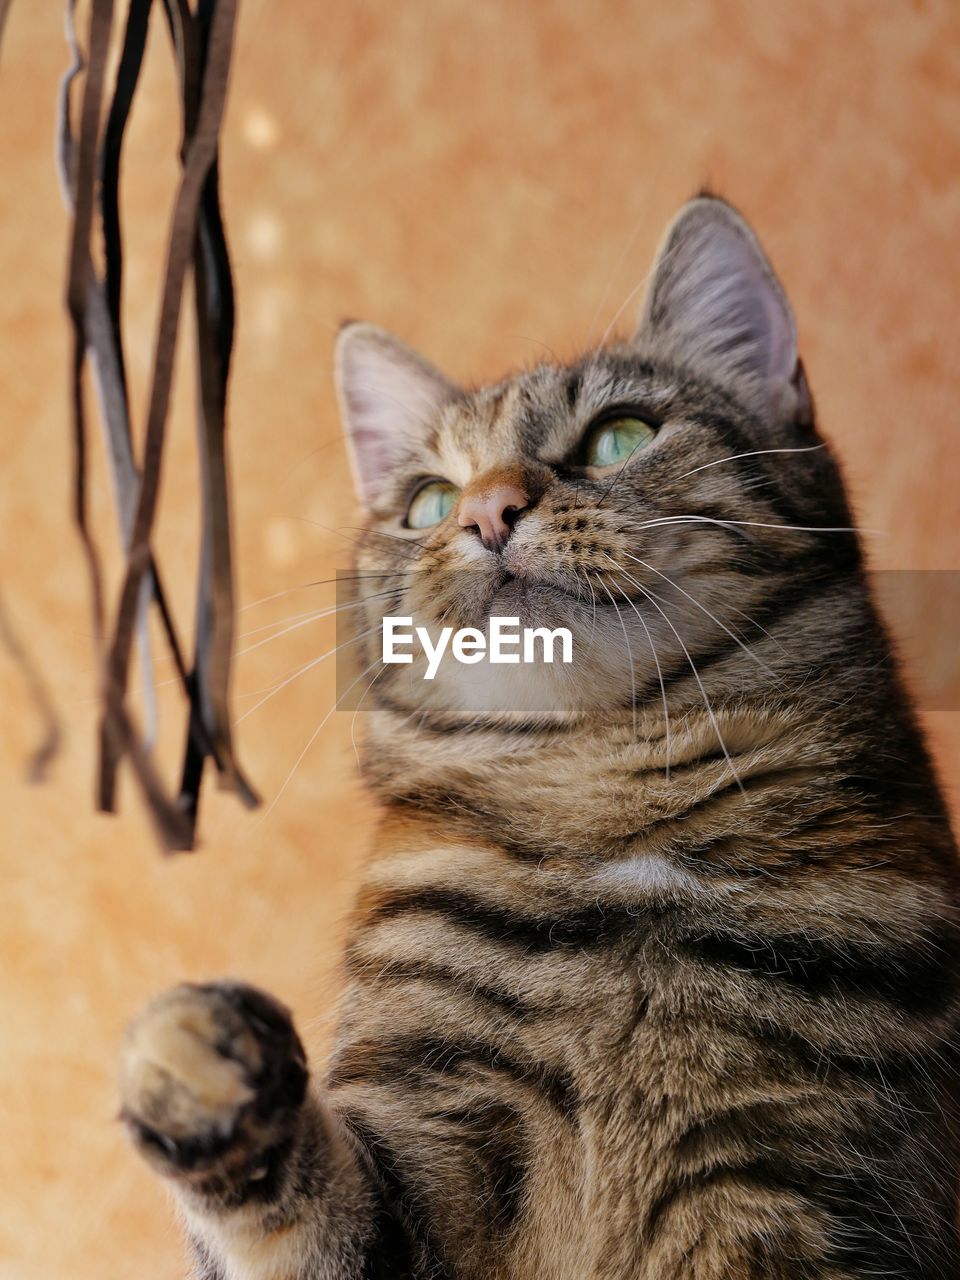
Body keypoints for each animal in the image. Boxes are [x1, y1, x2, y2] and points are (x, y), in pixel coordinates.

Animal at [118, 194, 960, 1274]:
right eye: (431, 499)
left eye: (620, 437)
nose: (484, 509)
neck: (604, 798)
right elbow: (300, 1210)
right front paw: (197, 1062)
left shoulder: (804, 1187)